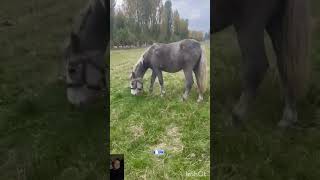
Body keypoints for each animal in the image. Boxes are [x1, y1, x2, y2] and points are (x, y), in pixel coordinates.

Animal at [212, 0, 310, 128]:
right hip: (276, 21)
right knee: (285, 63)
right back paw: (288, 118)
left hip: (248, 21)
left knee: (256, 65)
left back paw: (236, 116)